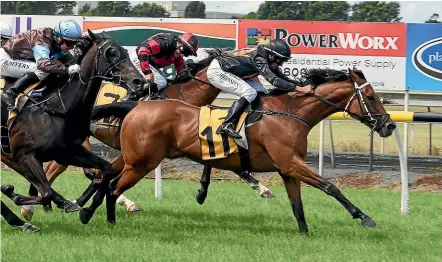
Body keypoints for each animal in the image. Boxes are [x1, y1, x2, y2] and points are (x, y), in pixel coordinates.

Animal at [0, 29, 145, 222]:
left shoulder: (68, 152)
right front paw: (13, 194)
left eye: (126, 52)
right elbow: (46, 192)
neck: (57, 108)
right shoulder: (25, 155)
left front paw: (86, 211)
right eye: (111, 52)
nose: (139, 82)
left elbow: (106, 170)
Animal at [83, 67, 398, 233]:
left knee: (104, 178)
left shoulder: (287, 169)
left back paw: (87, 212)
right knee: (111, 186)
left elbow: (297, 205)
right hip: (142, 163)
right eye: (371, 97)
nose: (390, 126)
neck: (290, 113)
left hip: (132, 158)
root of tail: (137, 105)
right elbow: (330, 186)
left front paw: (304, 232)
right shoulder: (291, 162)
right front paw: (364, 217)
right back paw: (105, 219)